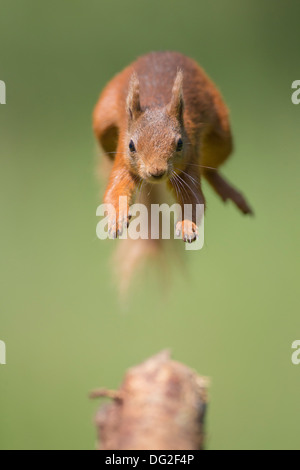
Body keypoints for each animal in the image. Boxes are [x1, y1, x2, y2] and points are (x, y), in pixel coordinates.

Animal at [93, 51, 251, 248]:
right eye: (131, 145)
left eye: (180, 144)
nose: (156, 172)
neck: (156, 104)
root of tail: (161, 52)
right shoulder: (123, 162)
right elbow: (114, 192)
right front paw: (116, 219)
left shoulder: (189, 162)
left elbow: (194, 200)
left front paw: (187, 226)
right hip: (102, 120)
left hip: (221, 137)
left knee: (210, 167)